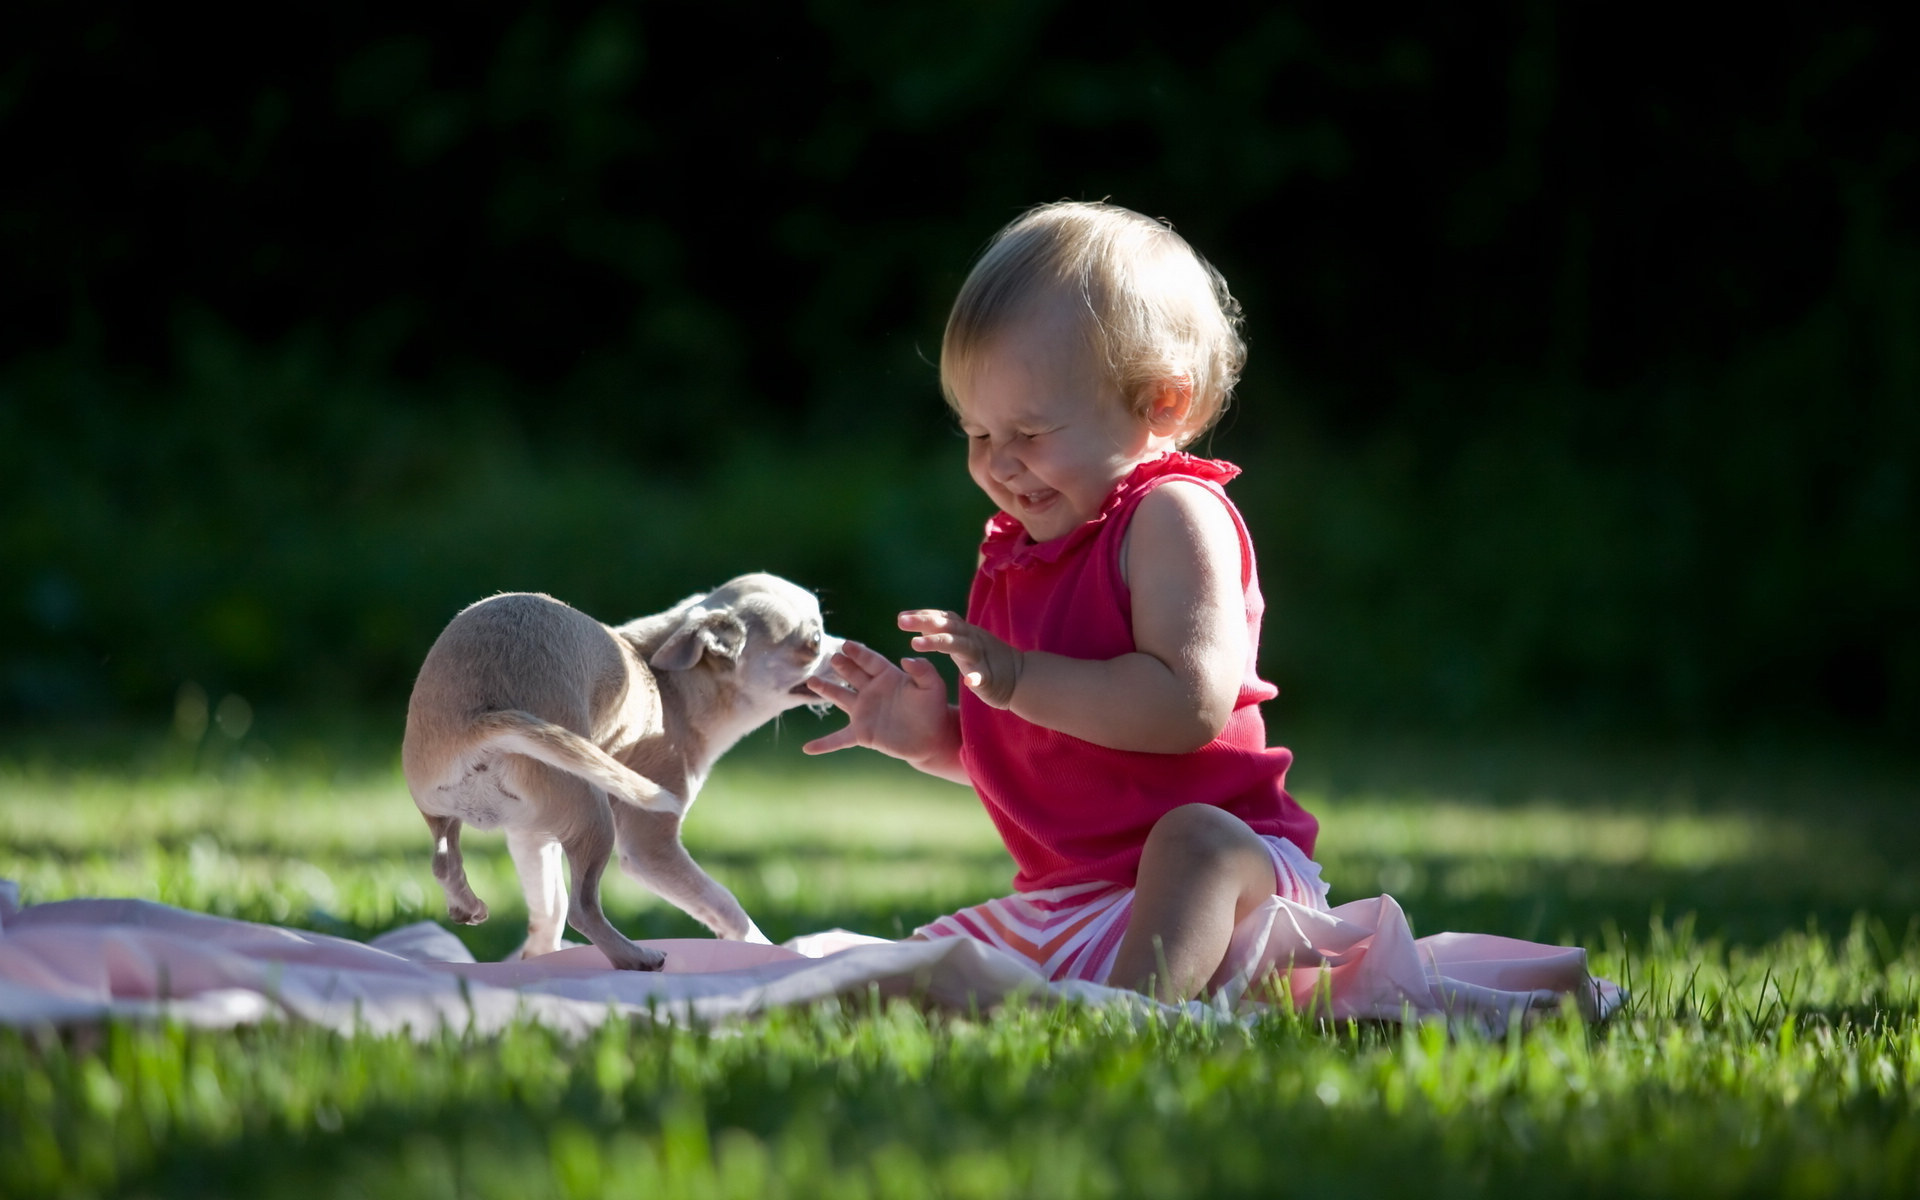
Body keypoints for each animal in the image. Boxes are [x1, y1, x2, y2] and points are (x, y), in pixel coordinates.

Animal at [403, 568, 840, 963]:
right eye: (815, 641)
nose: (846, 647)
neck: (671, 684)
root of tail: (478, 722)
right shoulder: (650, 849)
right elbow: (723, 901)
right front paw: (762, 946)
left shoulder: (530, 836)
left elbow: (547, 908)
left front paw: (538, 957)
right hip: (595, 818)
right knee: (582, 909)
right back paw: (635, 957)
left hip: (444, 806)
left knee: (445, 861)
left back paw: (467, 904)